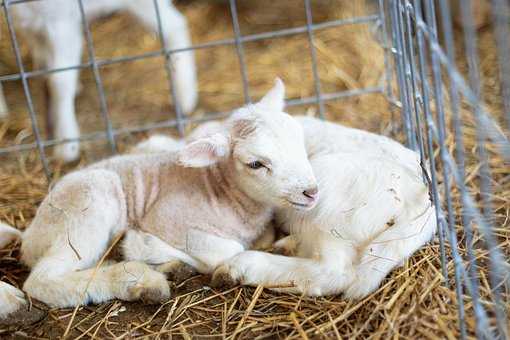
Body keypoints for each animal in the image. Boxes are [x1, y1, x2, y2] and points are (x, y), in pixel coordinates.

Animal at [0, 0, 197, 162]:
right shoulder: (35, 29)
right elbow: (45, 69)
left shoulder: (63, 24)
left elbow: (59, 82)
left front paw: (67, 147)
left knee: (175, 25)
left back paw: (185, 97)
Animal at [0, 79, 318, 318]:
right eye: (255, 164)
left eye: (299, 140)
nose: (312, 191)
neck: (221, 189)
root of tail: (30, 235)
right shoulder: (170, 220)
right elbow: (226, 250)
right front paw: (144, 246)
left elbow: (262, 240)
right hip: (88, 205)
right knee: (44, 279)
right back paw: (140, 279)